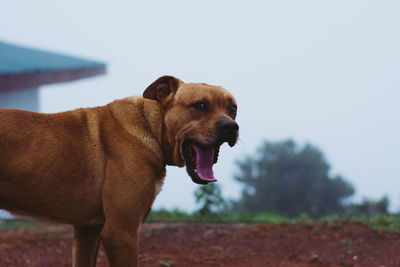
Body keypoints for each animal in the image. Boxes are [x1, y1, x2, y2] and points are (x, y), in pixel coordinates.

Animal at [0, 76, 238, 267]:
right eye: (200, 106)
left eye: (233, 108)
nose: (231, 126)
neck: (150, 126)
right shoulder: (121, 233)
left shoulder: (87, 232)